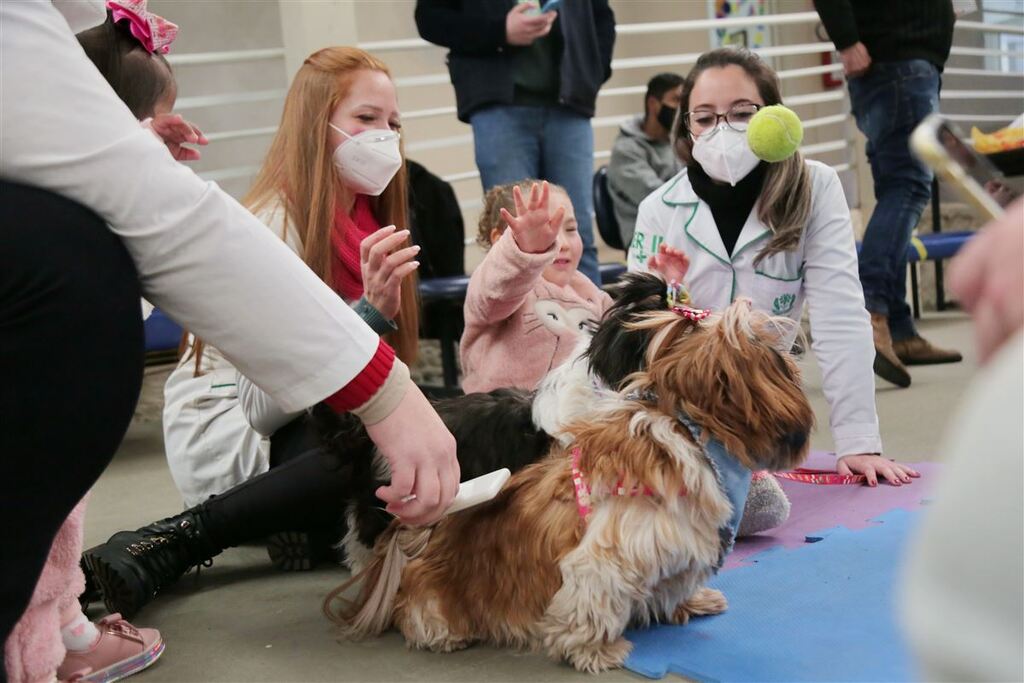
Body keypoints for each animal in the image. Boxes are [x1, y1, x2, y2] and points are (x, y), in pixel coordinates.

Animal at [323, 296, 811, 671]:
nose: (793, 341)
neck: (688, 430)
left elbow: (671, 584)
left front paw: (688, 604)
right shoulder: (607, 555)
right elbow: (590, 604)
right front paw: (596, 651)